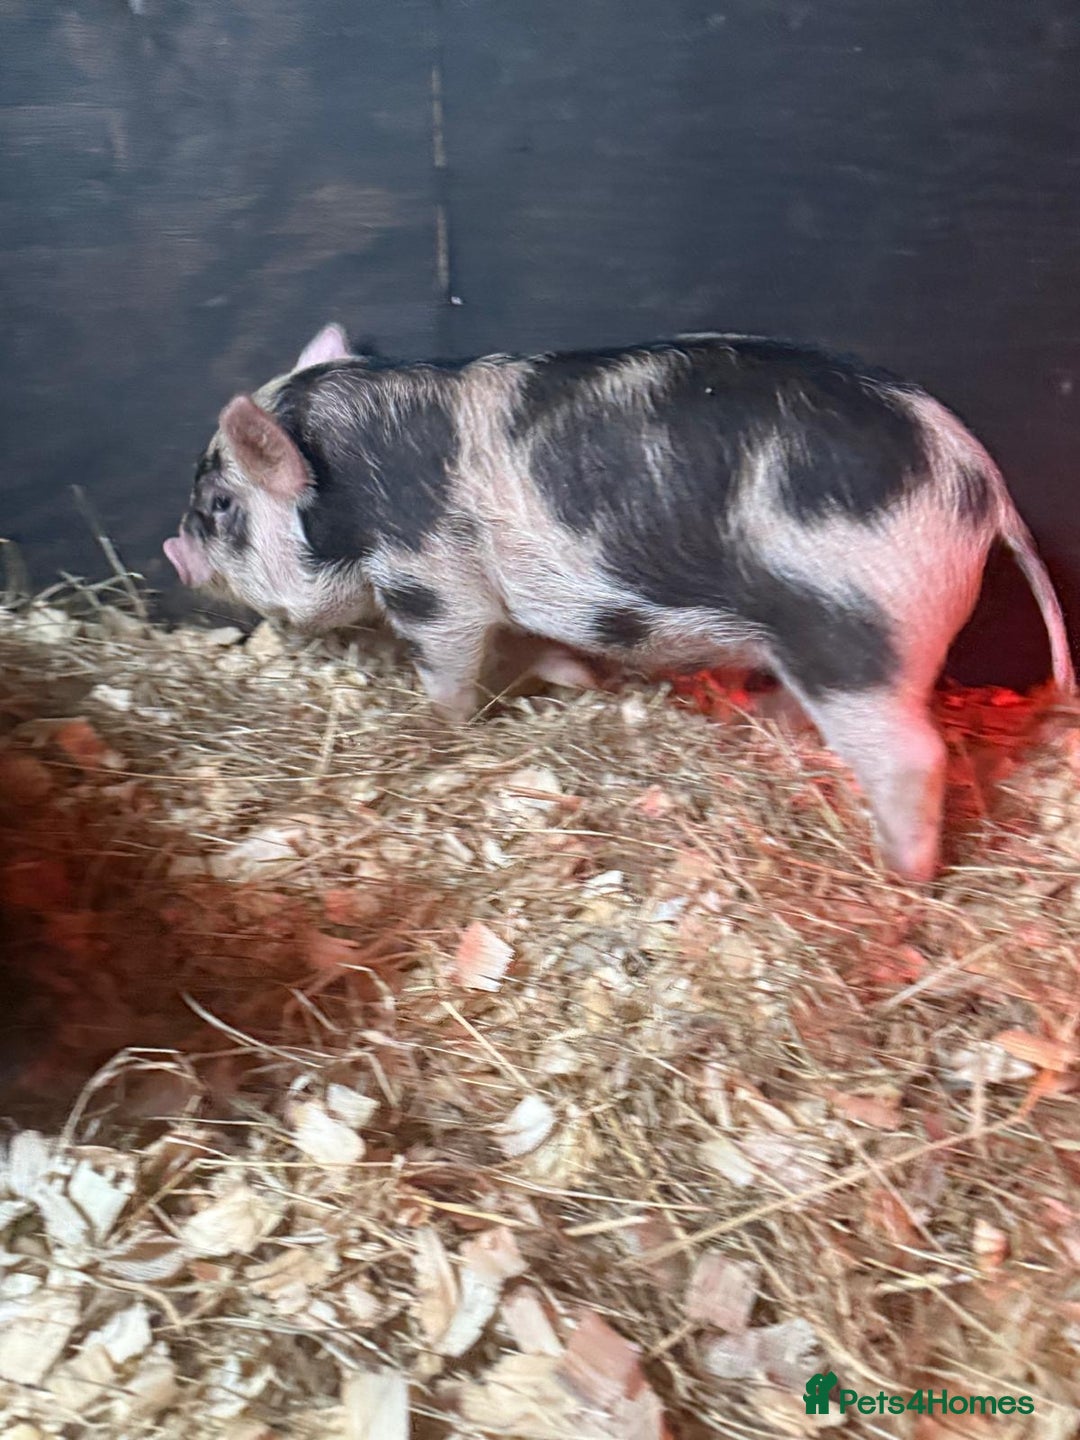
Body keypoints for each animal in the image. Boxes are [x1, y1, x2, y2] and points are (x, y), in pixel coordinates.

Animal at [164, 322, 1074, 883]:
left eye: (220, 504)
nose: (174, 551)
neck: (351, 486)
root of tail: (982, 488)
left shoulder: (431, 582)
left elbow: (451, 665)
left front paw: (440, 728)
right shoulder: (494, 599)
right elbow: (522, 645)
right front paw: (577, 680)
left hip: (853, 629)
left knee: (914, 754)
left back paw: (901, 875)